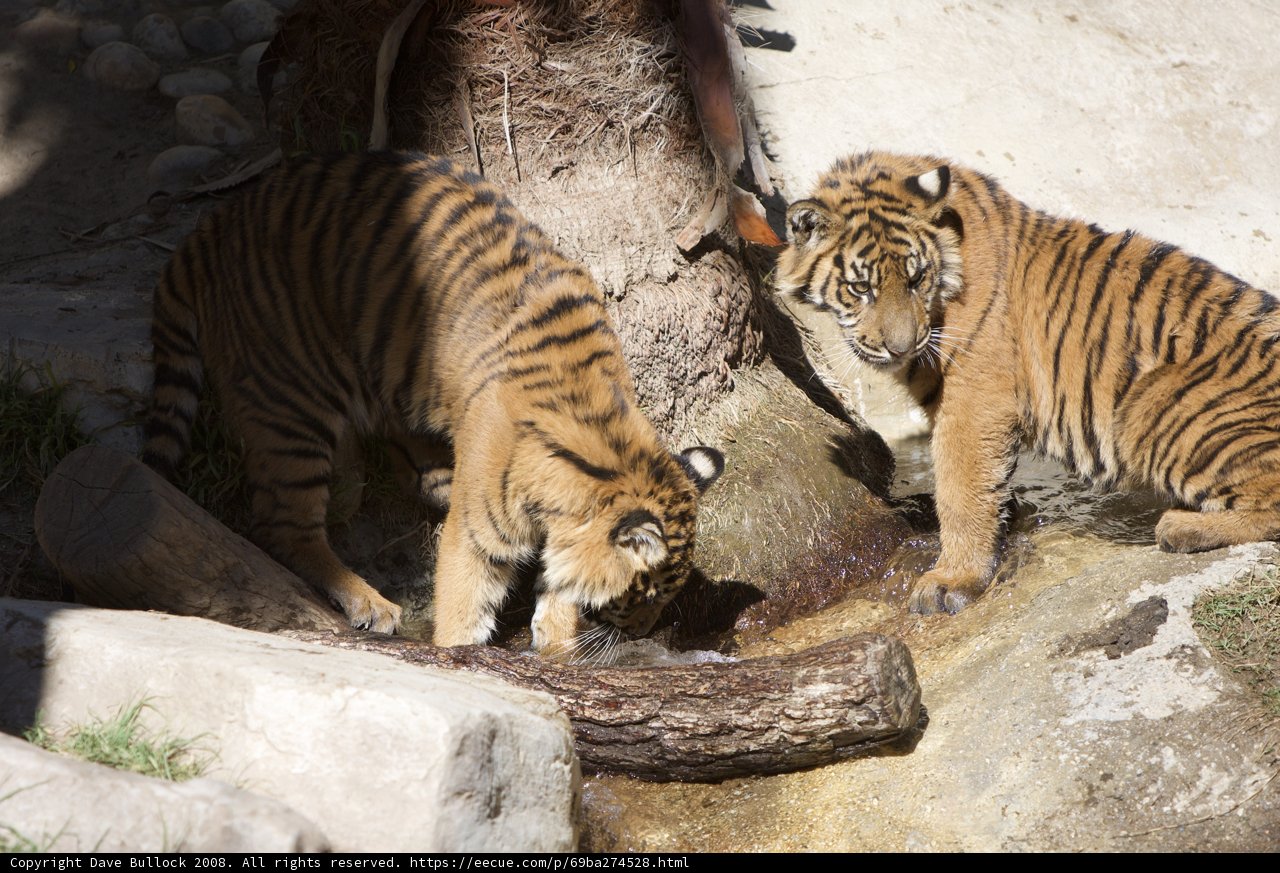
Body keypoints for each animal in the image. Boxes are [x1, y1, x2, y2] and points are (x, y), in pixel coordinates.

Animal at [143, 150, 725, 659]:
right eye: (645, 593)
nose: (645, 633)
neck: (604, 437)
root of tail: (212, 226)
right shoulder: (479, 534)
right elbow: (464, 605)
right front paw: (463, 657)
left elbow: (558, 589)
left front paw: (557, 650)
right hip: (291, 399)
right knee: (283, 526)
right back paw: (371, 603)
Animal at [777, 150, 1280, 615]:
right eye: (861, 289)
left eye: (916, 277)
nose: (902, 348)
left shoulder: (973, 402)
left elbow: (958, 489)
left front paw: (951, 580)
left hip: (1151, 406)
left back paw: (1180, 526)